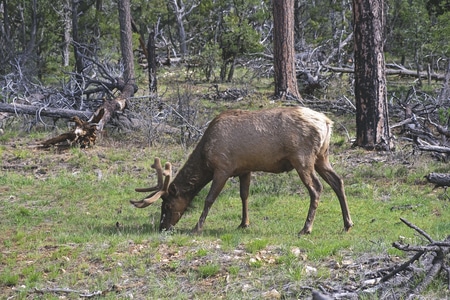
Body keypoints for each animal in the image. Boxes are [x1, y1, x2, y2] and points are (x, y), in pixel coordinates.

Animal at [131, 106, 356, 236]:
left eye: (167, 204)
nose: (162, 227)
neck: (205, 156)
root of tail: (327, 123)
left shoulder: (223, 167)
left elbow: (209, 199)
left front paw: (197, 227)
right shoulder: (244, 169)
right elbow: (244, 195)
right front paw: (244, 223)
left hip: (303, 158)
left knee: (316, 188)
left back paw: (306, 228)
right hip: (322, 156)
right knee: (338, 181)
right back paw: (347, 224)